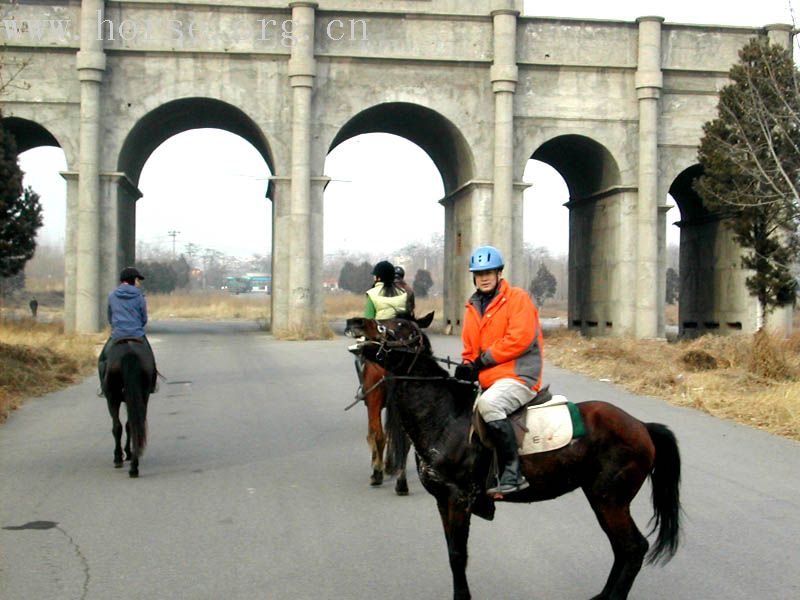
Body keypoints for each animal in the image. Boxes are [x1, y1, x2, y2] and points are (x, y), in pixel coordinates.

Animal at [101, 342, 155, 478]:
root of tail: (129, 352)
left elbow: (118, 427)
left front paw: (122, 455)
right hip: (143, 396)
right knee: (134, 424)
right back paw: (134, 466)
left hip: (112, 398)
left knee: (117, 426)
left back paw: (119, 458)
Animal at [344, 316, 680, 596]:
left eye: (401, 325)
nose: (356, 322)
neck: (445, 415)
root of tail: (641, 426)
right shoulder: (442, 500)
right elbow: (452, 552)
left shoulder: (458, 498)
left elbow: (458, 556)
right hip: (603, 500)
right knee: (624, 550)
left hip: (610, 500)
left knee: (633, 548)